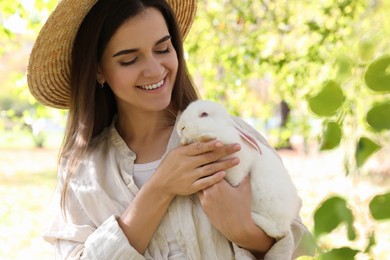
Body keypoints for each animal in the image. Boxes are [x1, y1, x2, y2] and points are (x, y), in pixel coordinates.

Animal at [177, 99, 302, 238]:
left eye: (204, 114)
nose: (181, 127)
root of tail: (286, 221)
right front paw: (185, 141)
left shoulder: (236, 170)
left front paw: (205, 137)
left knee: (277, 229)